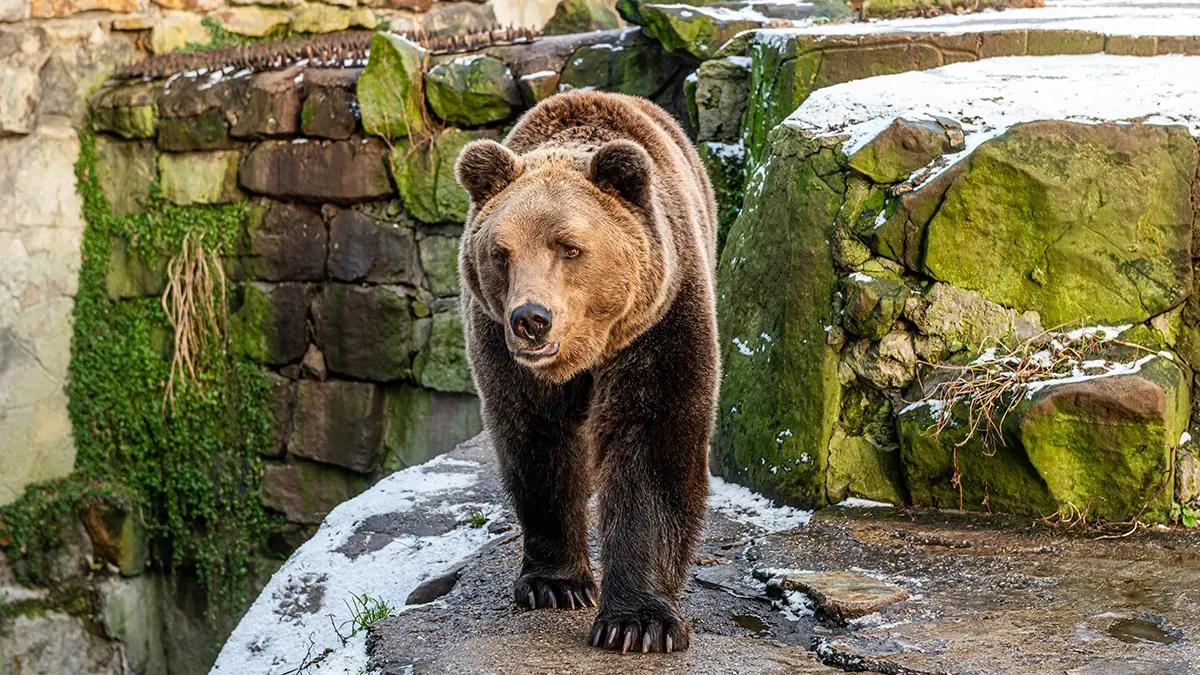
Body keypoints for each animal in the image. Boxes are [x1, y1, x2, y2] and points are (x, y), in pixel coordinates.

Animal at [453, 90, 715, 653]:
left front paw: (638, 623)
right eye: (501, 253)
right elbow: (538, 444)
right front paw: (556, 584)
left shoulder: (657, 320)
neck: (585, 350)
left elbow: (652, 440)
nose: (531, 319)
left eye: (569, 247)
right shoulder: (499, 348)